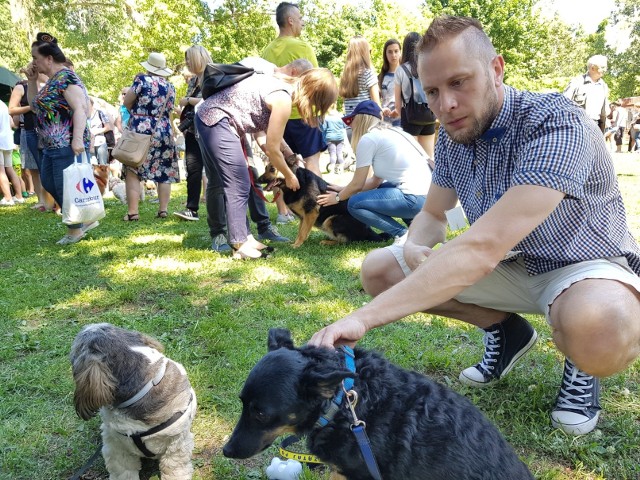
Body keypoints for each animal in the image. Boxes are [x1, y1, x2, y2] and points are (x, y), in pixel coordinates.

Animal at [256, 158, 384, 248]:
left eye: (272, 169)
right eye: (265, 168)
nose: (257, 180)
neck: (297, 181)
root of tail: (369, 232)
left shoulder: (311, 213)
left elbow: (303, 233)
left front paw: (297, 245)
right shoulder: (303, 217)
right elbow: (300, 231)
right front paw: (296, 242)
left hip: (331, 220)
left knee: (346, 242)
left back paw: (328, 242)